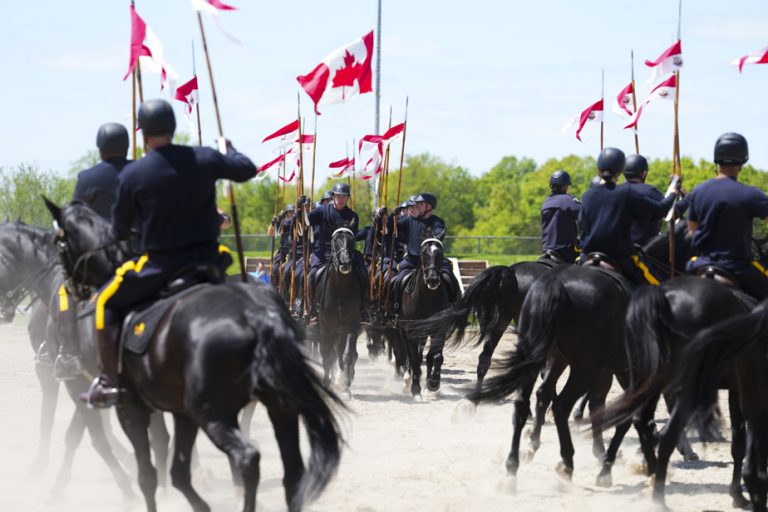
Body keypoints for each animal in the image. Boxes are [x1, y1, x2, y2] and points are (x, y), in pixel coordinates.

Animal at [43, 201, 340, 512]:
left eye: (59, 242)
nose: (71, 288)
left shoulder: (118, 401)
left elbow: (132, 459)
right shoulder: (172, 407)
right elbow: (169, 458)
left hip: (213, 411)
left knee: (247, 456)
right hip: (277, 407)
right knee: (291, 471)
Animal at [316, 228, 368, 400]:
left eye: (352, 240)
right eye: (335, 240)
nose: (345, 263)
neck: (340, 287)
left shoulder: (352, 326)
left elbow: (347, 355)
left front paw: (346, 387)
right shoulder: (325, 326)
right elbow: (326, 353)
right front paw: (326, 383)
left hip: (342, 330)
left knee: (341, 352)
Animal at [396, 238, 456, 398]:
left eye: (440, 252)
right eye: (423, 253)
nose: (432, 280)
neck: (428, 296)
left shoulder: (440, 329)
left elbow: (436, 357)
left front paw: (433, 384)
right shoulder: (411, 331)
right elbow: (415, 359)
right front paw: (415, 389)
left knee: (427, 356)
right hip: (404, 331)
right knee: (409, 355)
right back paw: (408, 381)